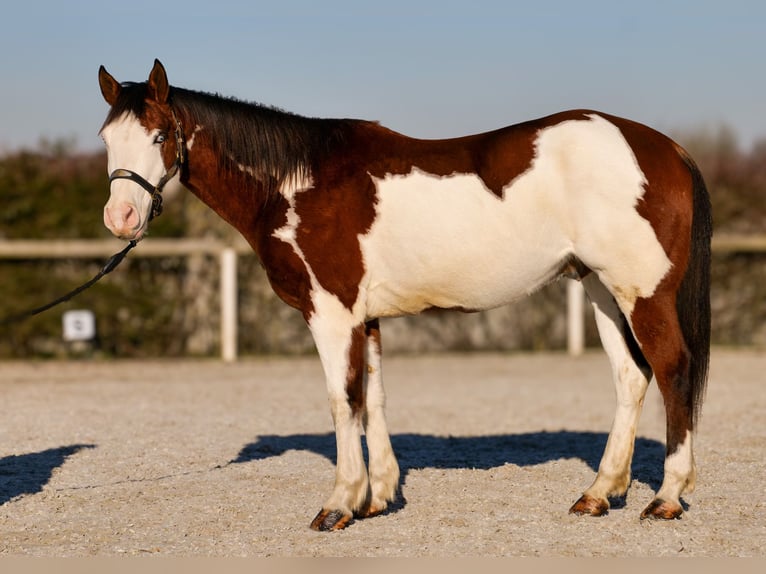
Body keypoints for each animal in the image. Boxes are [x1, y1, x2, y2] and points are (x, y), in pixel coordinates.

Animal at [97, 59, 712, 531]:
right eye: (106, 138)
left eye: (160, 136)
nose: (120, 217)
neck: (296, 182)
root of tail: (666, 149)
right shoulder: (365, 317)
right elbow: (374, 398)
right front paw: (378, 497)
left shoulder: (331, 312)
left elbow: (342, 400)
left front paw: (339, 504)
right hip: (601, 288)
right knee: (631, 377)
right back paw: (599, 493)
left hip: (643, 293)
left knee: (673, 370)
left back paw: (666, 498)